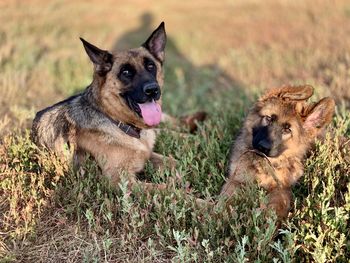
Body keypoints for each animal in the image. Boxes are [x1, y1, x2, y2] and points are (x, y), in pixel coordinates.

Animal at [221, 86, 334, 219]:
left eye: (287, 129)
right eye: (269, 118)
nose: (263, 147)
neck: (263, 165)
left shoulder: (282, 190)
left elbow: (276, 207)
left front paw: (269, 221)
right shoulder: (236, 180)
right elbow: (226, 199)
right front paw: (217, 214)